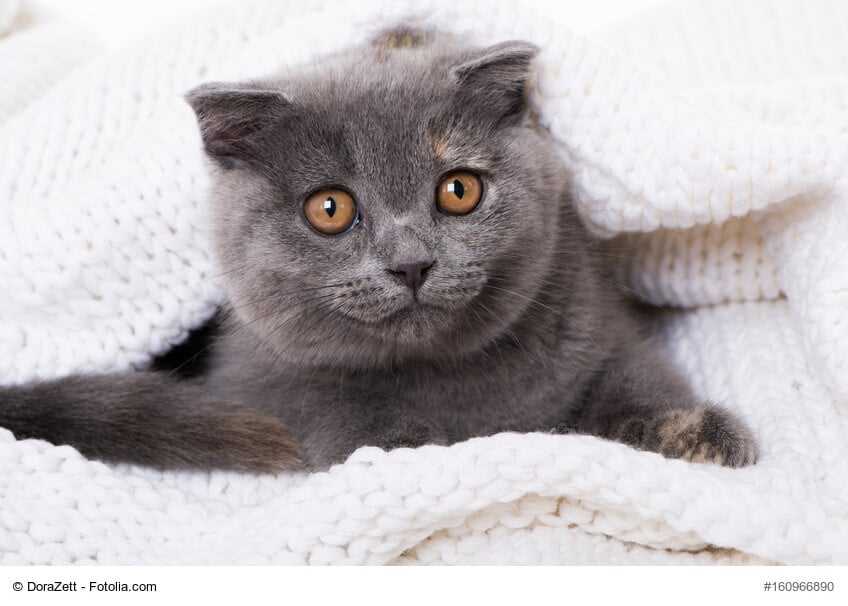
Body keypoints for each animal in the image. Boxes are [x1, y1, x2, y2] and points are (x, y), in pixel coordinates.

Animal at [0, 28, 760, 472]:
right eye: (330, 208)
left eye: (458, 189)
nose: (411, 262)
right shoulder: (276, 393)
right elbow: (359, 430)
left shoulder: (595, 319)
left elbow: (636, 375)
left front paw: (702, 431)